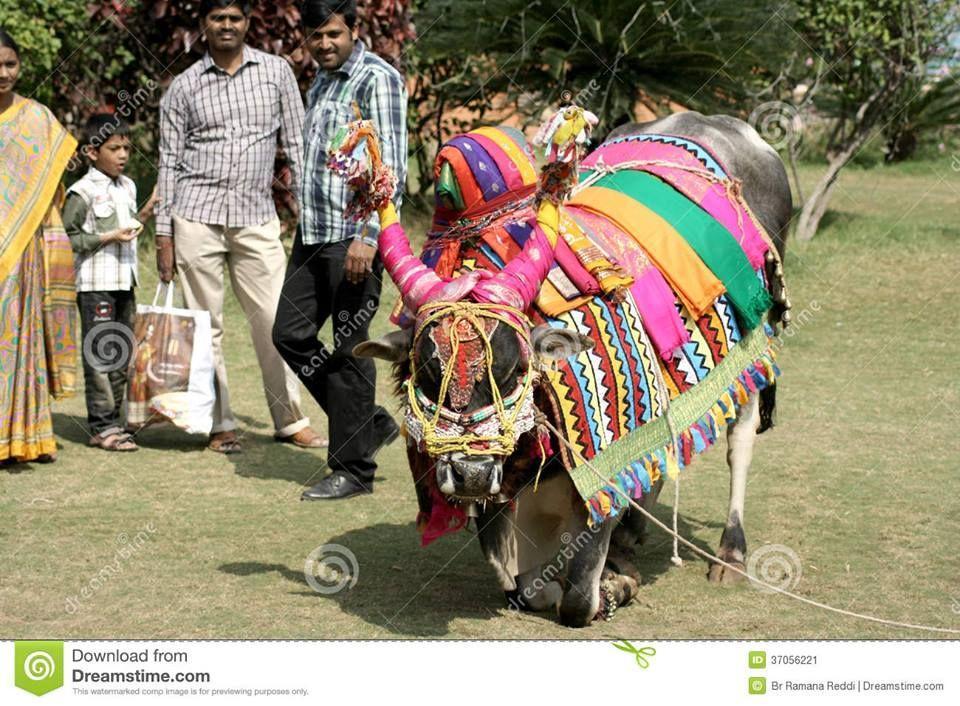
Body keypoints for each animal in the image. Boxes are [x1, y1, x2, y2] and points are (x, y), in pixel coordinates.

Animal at [334, 108, 792, 620]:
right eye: (429, 372)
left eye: (515, 370)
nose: (471, 475)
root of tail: (716, 123)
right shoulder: (504, 505)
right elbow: (522, 586)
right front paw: (612, 567)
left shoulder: (598, 476)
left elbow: (576, 597)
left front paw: (615, 587)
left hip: (752, 352)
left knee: (740, 441)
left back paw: (730, 553)